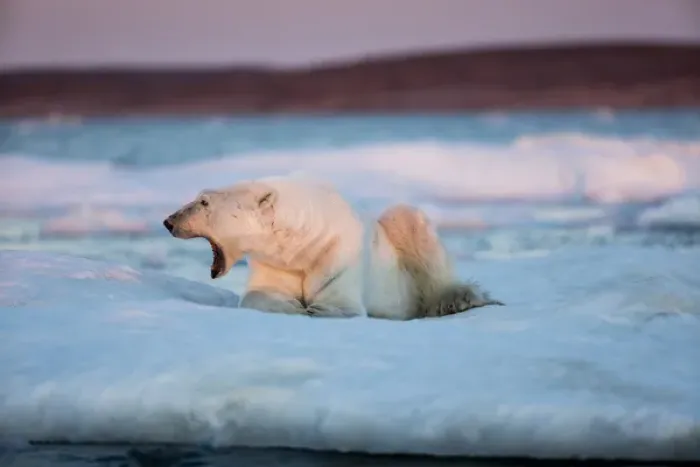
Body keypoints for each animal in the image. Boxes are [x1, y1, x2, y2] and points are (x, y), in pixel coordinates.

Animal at [162, 175, 503, 319]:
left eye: (203, 202)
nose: (168, 221)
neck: (302, 240)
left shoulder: (337, 253)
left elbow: (340, 304)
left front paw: (311, 307)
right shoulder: (275, 262)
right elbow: (259, 295)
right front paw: (289, 304)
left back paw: (458, 299)